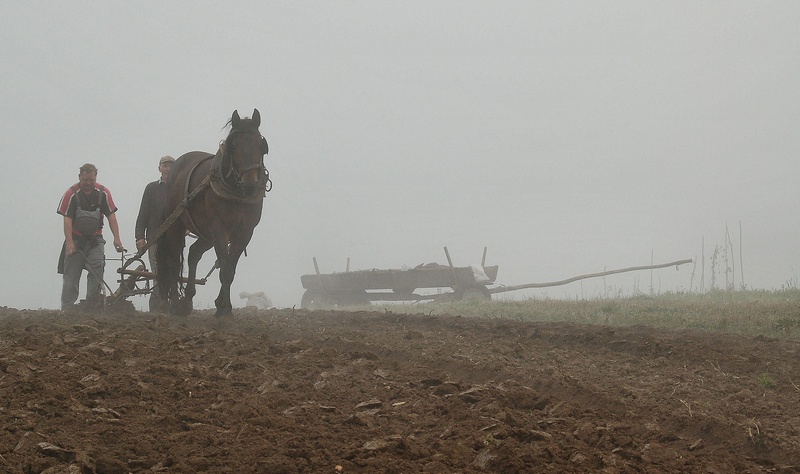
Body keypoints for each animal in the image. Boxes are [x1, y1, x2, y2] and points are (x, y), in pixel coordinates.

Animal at [158, 109, 270, 316]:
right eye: (233, 146)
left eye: (261, 145)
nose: (250, 185)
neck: (236, 193)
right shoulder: (219, 229)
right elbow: (224, 268)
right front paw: (224, 310)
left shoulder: (244, 232)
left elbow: (230, 269)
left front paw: (222, 305)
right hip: (176, 225)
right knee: (173, 260)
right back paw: (176, 305)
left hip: (206, 234)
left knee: (193, 253)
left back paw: (188, 299)